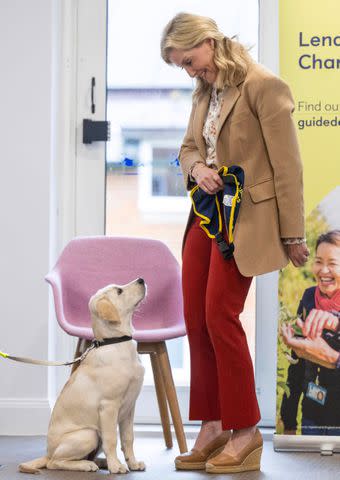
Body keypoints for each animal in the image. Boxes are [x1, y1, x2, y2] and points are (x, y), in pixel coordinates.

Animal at [18, 278, 146, 472]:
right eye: (119, 291)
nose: (141, 280)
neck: (115, 342)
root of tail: (47, 453)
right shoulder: (108, 406)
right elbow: (112, 439)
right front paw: (116, 466)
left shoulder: (130, 407)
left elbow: (128, 438)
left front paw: (133, 463)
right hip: (89, 433)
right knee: (54, 463)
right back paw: (87, 465)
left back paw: (99, 462)